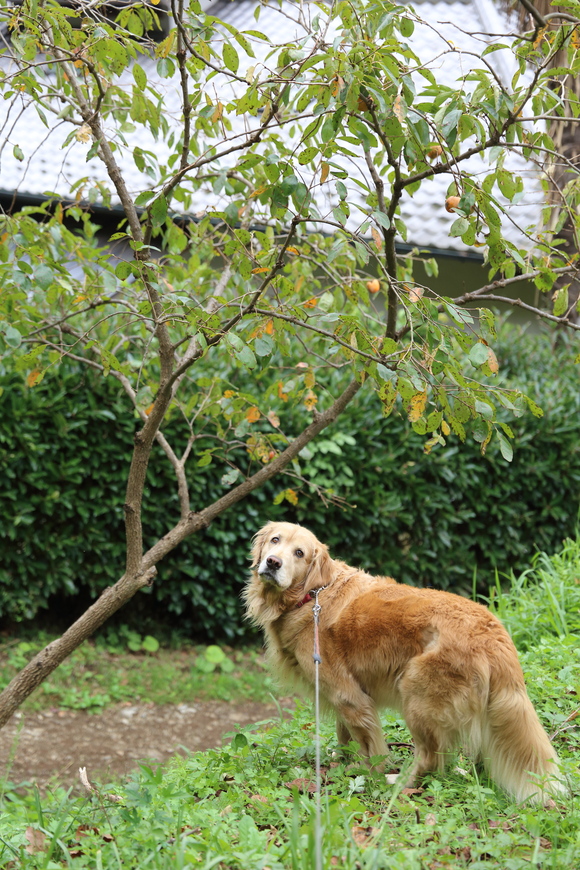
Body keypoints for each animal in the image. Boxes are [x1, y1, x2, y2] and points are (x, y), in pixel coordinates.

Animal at [245, 520, 568, 808]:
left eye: (299, 553)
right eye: (275, 540)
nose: (273, 563)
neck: (312, 593)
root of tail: (493, 633)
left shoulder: (348, 696)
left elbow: (368, 745)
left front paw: (366, 774)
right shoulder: (346, 696)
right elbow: (344, 734)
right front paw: (342, 762)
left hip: (415, 695)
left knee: (430, 758)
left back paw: (399, 783)